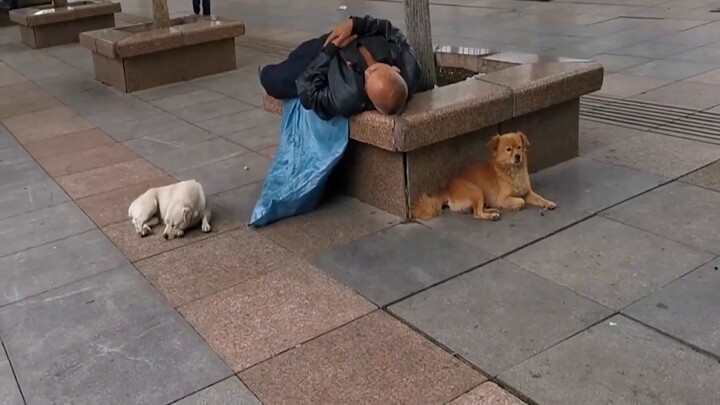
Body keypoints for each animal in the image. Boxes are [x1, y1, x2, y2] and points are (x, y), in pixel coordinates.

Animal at [410, 132, 556, 221]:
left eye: (519, 147)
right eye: (508, 149)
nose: (518, 156)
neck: (514, 171)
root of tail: (448, 189)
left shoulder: (527, 193)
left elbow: (539, 198)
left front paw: (548, 203)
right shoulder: (503, 198)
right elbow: (521, 201)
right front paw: (516, 207)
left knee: (477, 209)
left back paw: (492, 210)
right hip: (476, 191)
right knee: (476, 213)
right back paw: (492, 216)